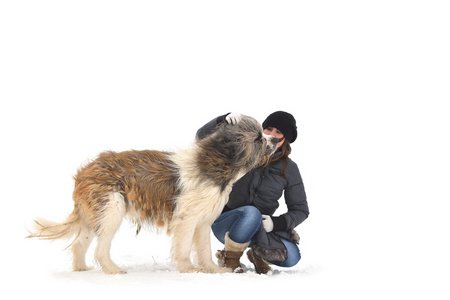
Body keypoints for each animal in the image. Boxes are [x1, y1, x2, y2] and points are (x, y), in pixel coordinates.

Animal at [28, 115, 278, 274]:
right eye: (258, 138)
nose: (275, 139)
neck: (215, 163)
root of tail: (86, 171)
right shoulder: (186, 220)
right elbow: (184, 248)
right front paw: (189, 269)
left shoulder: (203, 221)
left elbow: (204, 249)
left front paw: (213, 270)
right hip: (112, 207)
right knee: (100, 249)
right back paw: (113, 270)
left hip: (94, 213)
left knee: (80, 244)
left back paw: (81, 269)